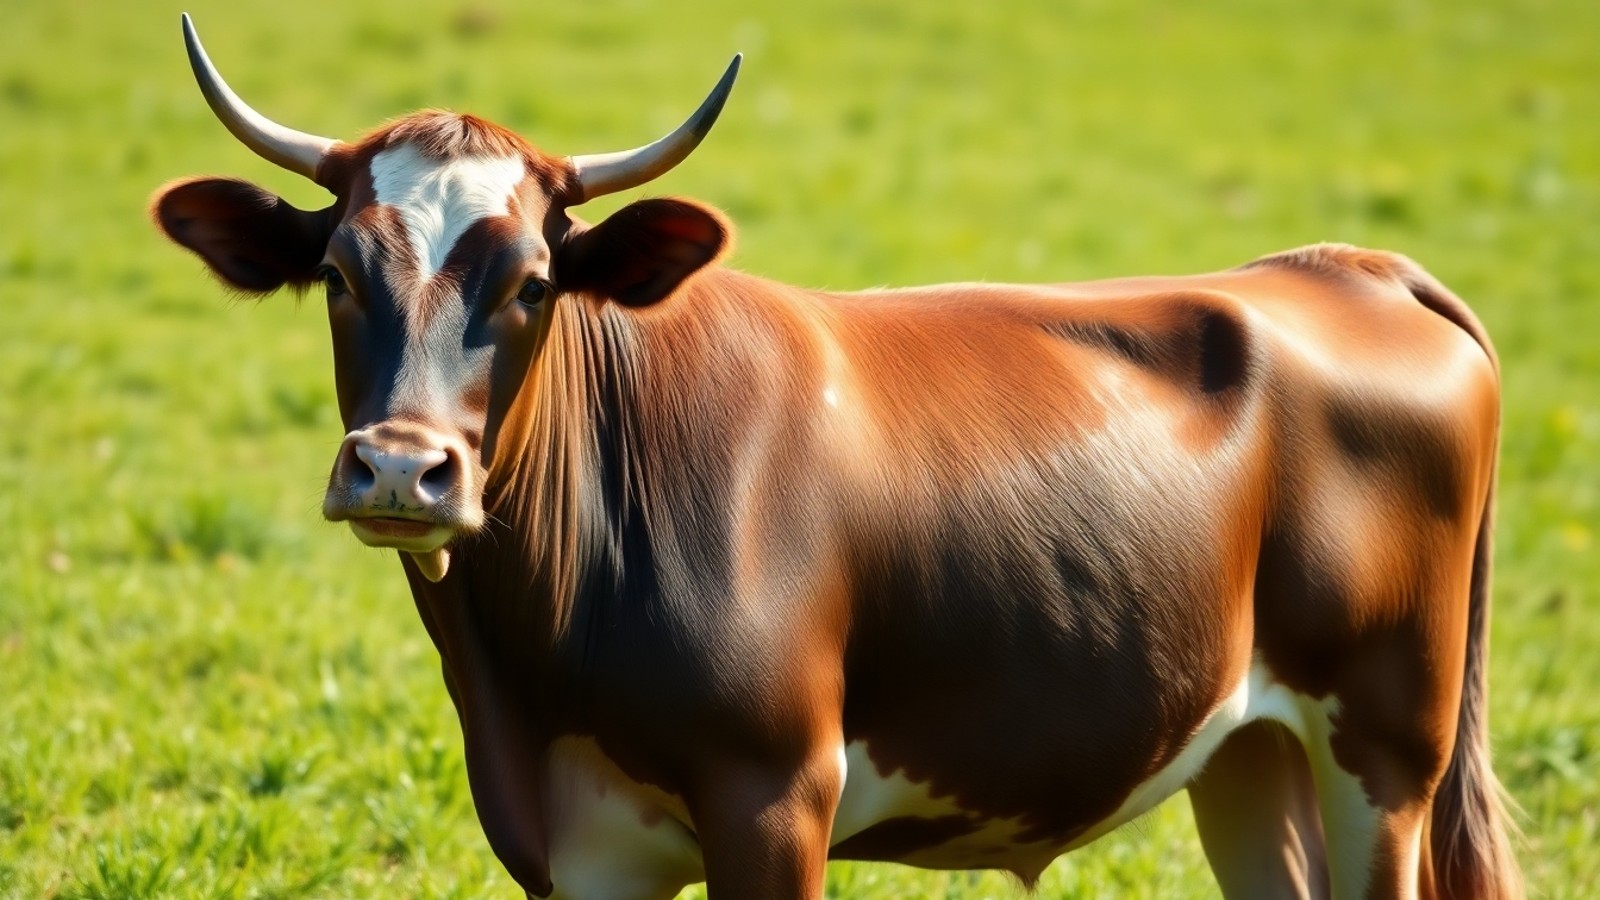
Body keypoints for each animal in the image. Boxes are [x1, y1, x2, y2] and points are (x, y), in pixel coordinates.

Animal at [151, 15, 1521, 900]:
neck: (533, 661)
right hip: (1246, 749)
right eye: (338, 273)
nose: (399, 470)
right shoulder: (574, 840)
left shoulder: (775, 799)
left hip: (1388, 744)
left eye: (533, 281)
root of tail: (1339, 267)